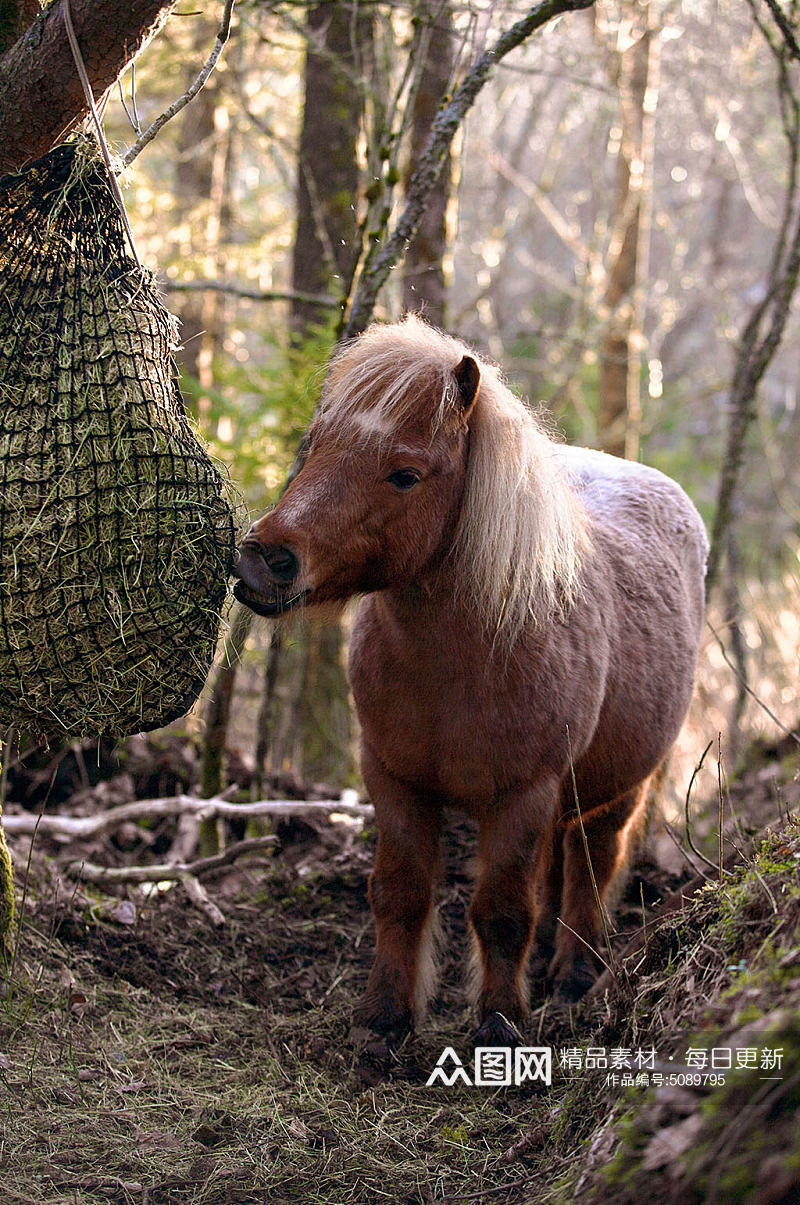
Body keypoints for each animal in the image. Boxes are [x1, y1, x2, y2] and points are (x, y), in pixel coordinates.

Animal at [232, 318, 708, 1045]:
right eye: (313, 446)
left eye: (405, 475)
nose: (265, 559)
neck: (462, 665)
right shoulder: (394, 781)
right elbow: (400, 893)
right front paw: (383, 1020)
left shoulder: (522, 797)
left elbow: (503, 911)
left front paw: (502, 1023)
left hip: (616, 789)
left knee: (593, 862)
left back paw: (574, 973)